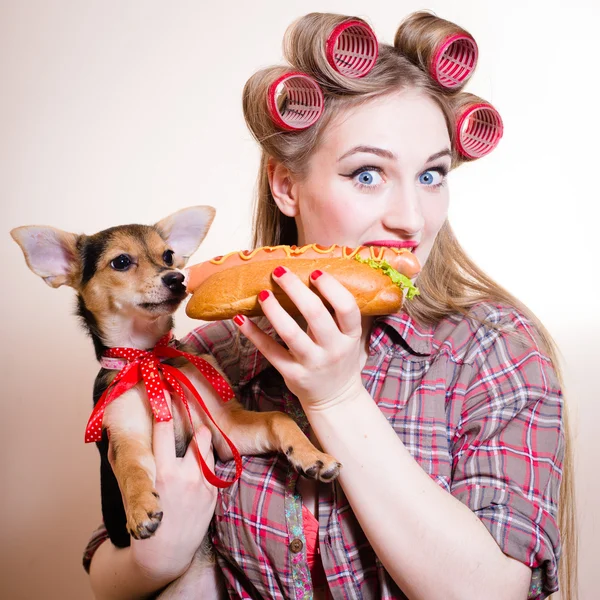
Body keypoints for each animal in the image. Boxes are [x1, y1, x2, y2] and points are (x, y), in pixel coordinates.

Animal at [10, 206, 338, 592]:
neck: (151, 357)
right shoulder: (125, 435)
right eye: (121, 262)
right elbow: (131, 469)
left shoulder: (224, 431)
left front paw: (311, 455)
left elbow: (278, 418)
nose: (177, 278)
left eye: (167, 256)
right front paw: (140, 509)